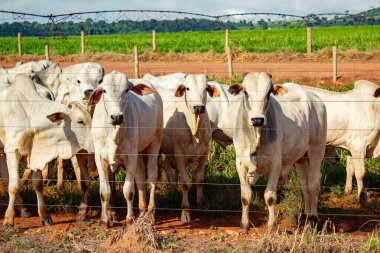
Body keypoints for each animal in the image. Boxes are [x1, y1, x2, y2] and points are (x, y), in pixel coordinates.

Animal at [0, 73, 94, 225]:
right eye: (80, 121)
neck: (30, 115)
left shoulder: (36, 155)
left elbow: (38, 184)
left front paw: (44, 215)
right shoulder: (12, 151)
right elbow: (14, 185)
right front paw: (8, 218)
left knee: (6, 177)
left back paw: (23, 208)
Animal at [90, 70, 163, 225]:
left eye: (127, 90)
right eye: (104, 90)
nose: (117, 117)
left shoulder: (130, 156)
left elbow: (128, 191)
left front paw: (129, 218)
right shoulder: (99, 157)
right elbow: (104, 192)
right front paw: (104, 220)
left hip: (155, 142)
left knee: (152, 175)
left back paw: (150, 214)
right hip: (139, 152)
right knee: (140, 177)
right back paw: (141, 211)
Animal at [143, 71, 221, 221]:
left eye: (205, 88)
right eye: (188, 88)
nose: (198, 107)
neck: (195, 130)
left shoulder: (204, 154)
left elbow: (199, 180)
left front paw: (200, 204)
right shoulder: (179, 154)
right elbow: (185, 183)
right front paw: (185, 211)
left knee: (169, 170)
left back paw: (174, 190)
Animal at [211, 72, 326, 231]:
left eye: (268, 94)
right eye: (246, 92)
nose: (257, 120)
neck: (255, 137)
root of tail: (315, 98)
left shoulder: (275, 164)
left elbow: (270, 197)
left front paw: (272, 225)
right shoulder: (240, 163)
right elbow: (245, 196)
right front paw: (244, 224)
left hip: (316, 150)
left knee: (314, 183)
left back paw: (313, 219)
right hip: (301, 158)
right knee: (305, 185)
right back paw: (306, 217)